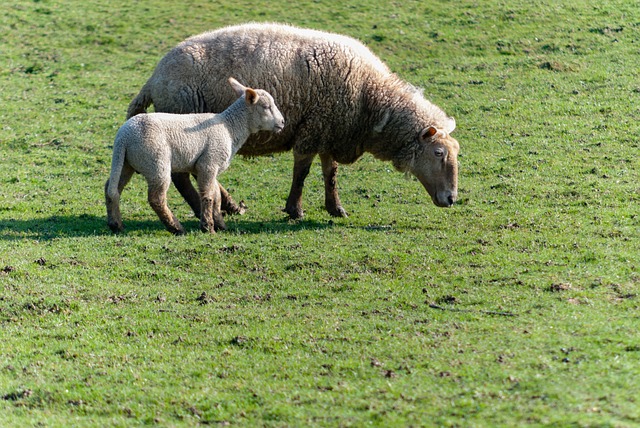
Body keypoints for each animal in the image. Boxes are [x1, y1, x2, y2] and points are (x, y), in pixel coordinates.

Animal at [105, 78, 284, 236]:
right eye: (266, 107)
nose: (282, 122)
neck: (230, 127)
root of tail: (123, 136)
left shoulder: (209, 166)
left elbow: (216, 196)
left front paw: (220, 224)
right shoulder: (209, 163)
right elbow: (208, 196)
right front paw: (208, 227)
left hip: (126, 163)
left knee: (112, 188)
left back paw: (116, 224)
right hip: (156, 162)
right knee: (156, 199)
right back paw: (176, 228)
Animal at [126, 21, 460, 219]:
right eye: (438, 153)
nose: (452, 198)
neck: (371, 98)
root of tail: (154, 78)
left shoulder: (330, 129)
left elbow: (330, 173)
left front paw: (335, 208)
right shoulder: (313, 129)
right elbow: (302, 173)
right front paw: (295, 210)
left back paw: (227, 205)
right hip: (183, 122)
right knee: (185, 176)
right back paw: (205, 208)